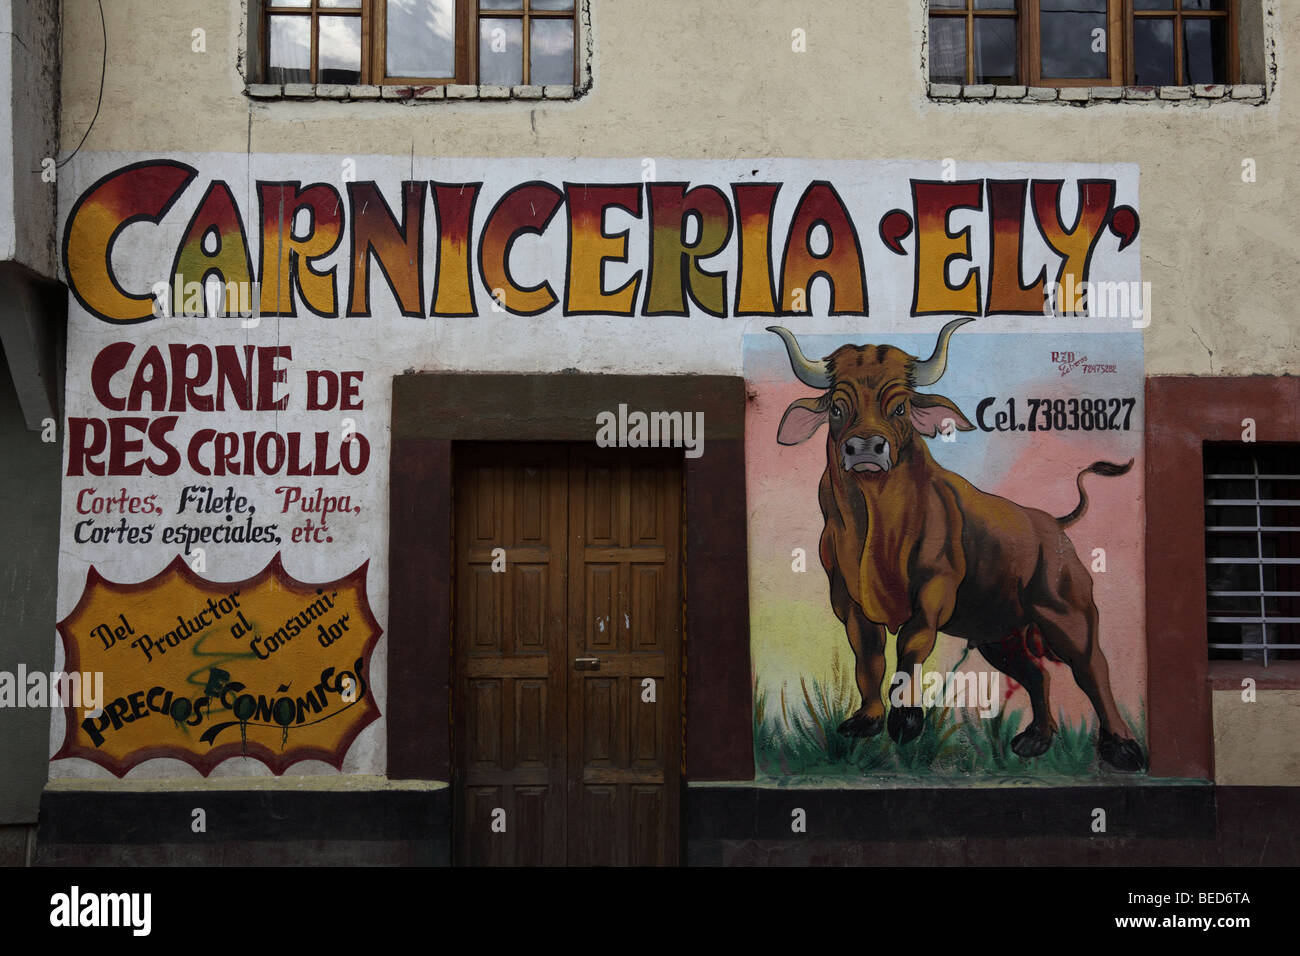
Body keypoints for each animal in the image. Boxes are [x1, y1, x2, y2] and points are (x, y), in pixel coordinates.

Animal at [769, 325, 1149, 775]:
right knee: (1038, 675)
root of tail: (1052, 525)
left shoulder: (934, 592)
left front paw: (906, 720)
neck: (876, 529)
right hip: (997, 635)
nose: (864, 449)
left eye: (900, 408)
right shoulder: (848, 601)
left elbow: (911, 645)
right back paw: (1036, 740)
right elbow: (868, 657)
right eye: (837, 409)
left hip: (1068, 614)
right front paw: (868, 720)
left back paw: (1122, 746)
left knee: (1092, 669)